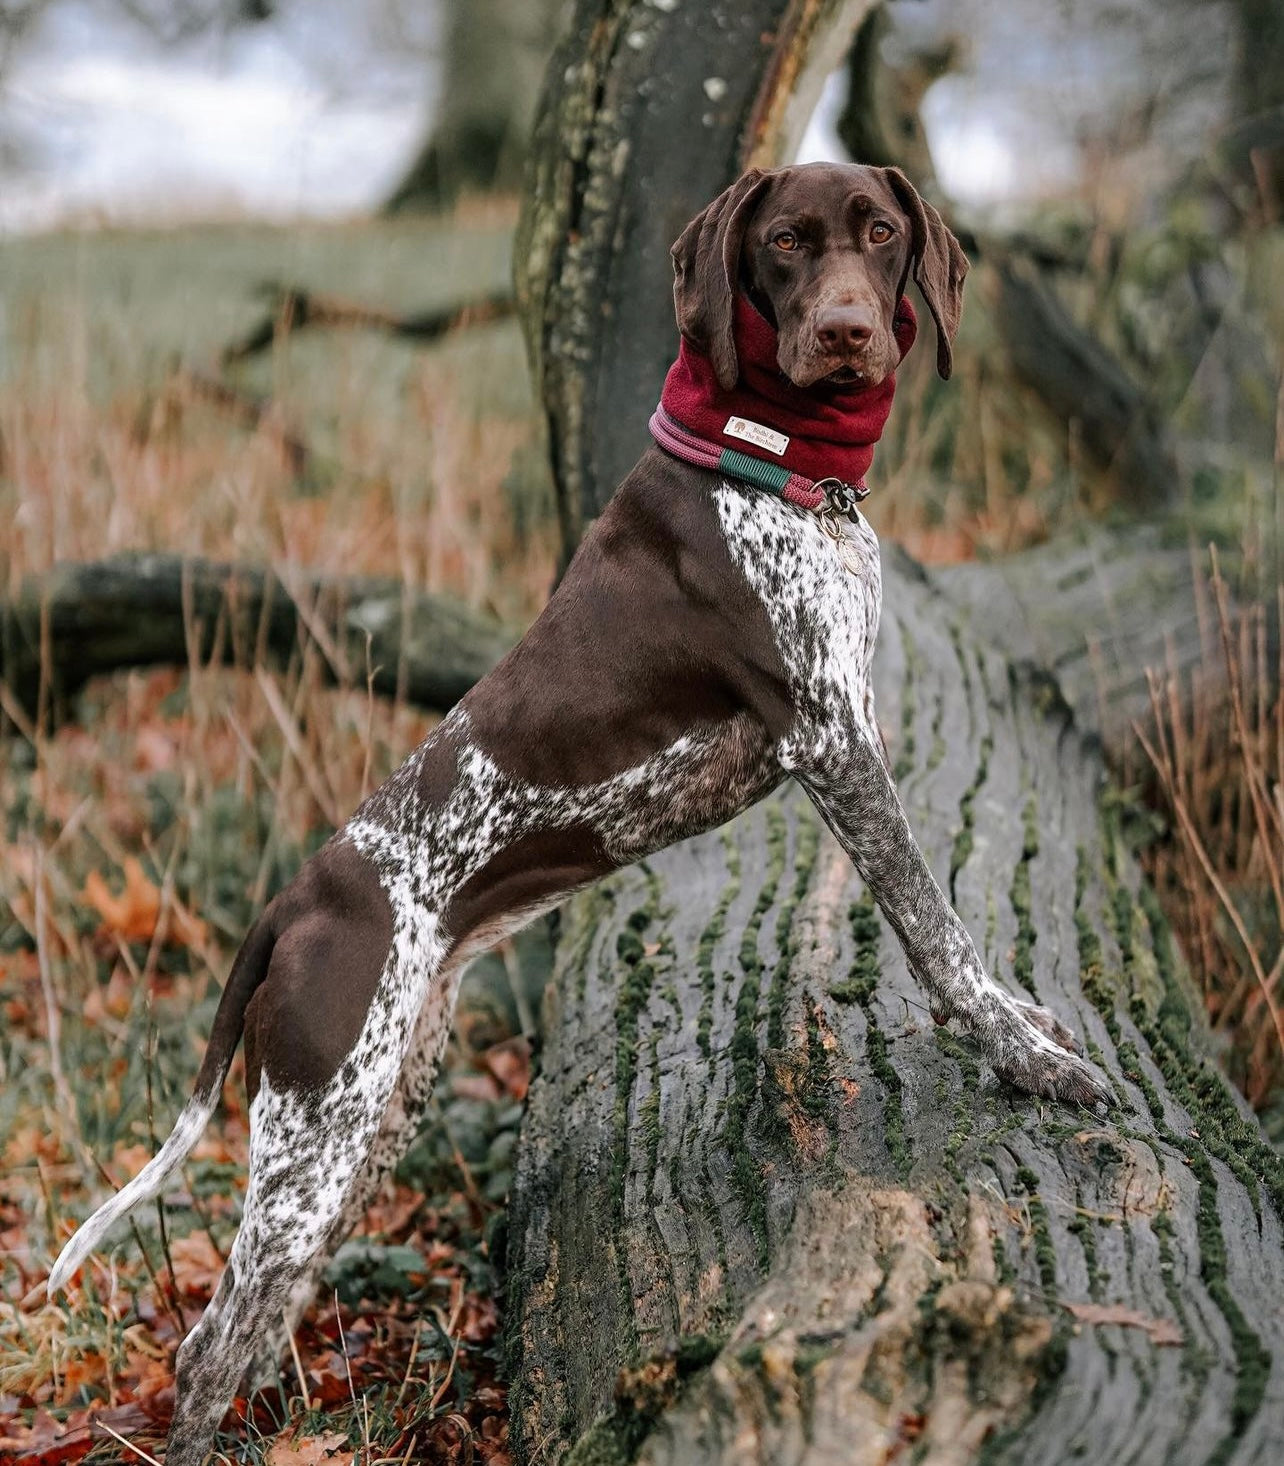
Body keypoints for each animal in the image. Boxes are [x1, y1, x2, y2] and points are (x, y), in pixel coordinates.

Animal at [50, 163, 1113, 1466]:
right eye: (785, 243)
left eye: (879, 234)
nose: (847, 331)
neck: (763, 457)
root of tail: (294, 903)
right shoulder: (835, 737)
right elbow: (934, 924)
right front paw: (1028, 1057)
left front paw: (1028, 1025)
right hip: (318, 1131)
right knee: (204, 1350)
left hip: (369, 1114)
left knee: (253, 1322)